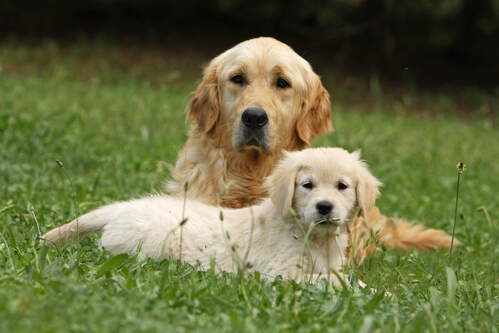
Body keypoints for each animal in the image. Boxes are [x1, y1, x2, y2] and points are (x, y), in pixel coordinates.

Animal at [42, 147, 378, 282]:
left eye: (342, 186)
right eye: (307, 185)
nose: (325, 207)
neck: (314, 237)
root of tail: (125, 206)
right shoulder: (280, 272)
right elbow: (332, 281)